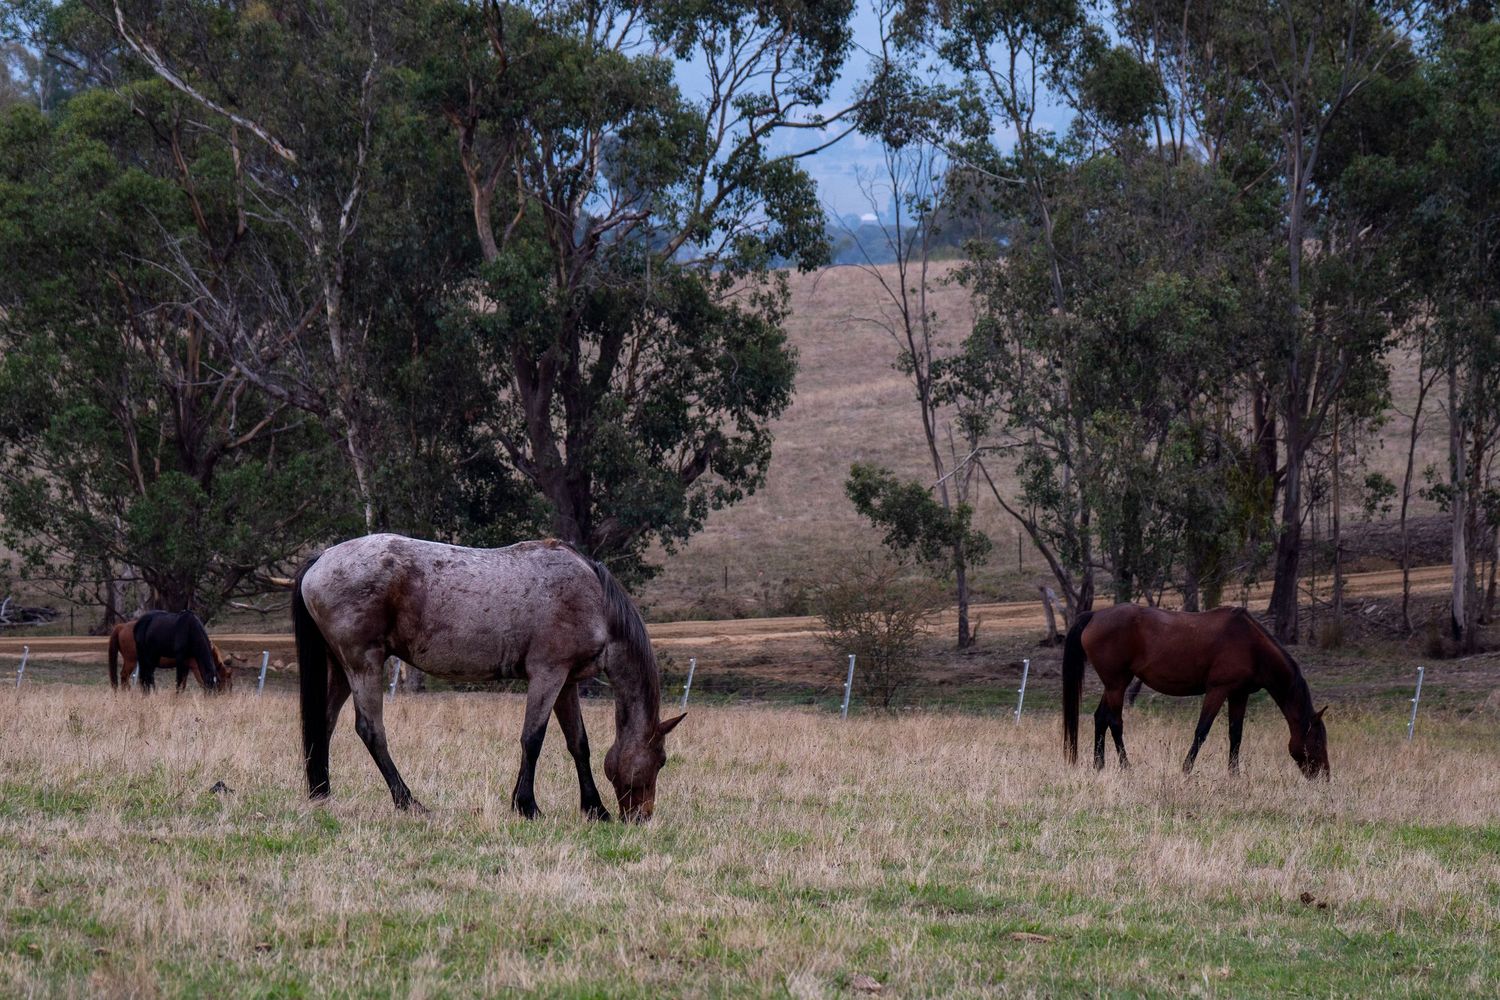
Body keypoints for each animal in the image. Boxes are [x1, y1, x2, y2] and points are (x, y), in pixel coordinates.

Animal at [293, 533, 685, 822]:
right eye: (661, 760)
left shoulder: (567, 682)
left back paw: (321, 794)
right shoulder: (548, 675)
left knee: (324, 723)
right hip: (364, 663)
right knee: (370, 730)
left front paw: (595, 809)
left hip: (342, 668)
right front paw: (527, 805)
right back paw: (408, 801)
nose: (642, 817)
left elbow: (579, 744)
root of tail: (321, 557)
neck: (594, 600)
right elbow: (533, 739)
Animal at [1062, 604, 1330, 779]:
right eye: (1317, 741)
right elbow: (1202, 731)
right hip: (1117, 684)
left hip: (1114, 684)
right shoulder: (1218, 690)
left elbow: (1236, 734)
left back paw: (1099, 765)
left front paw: (1234, 774)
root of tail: (1095, 615)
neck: (1252, 646)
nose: (1324, 776)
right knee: (1115, 722)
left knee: (1101, 718)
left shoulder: (1239, 693)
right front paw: (1186, 769)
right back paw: (1126, 767)